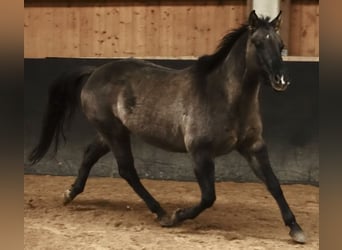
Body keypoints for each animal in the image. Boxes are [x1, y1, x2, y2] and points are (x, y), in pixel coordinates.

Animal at [27, 10, 304, 243]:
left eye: (281, 45)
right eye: (257, 43)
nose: (281, 80)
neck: (224, 96)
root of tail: (95, 72)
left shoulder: (253, 147)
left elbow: (274, 184)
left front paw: (296, 229)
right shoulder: (200, 153)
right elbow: (208, 197)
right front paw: (176, 216)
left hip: (111, 132)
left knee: (89, 155)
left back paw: (70, 194)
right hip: (114, 132)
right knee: (127, 170)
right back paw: (160, 212)